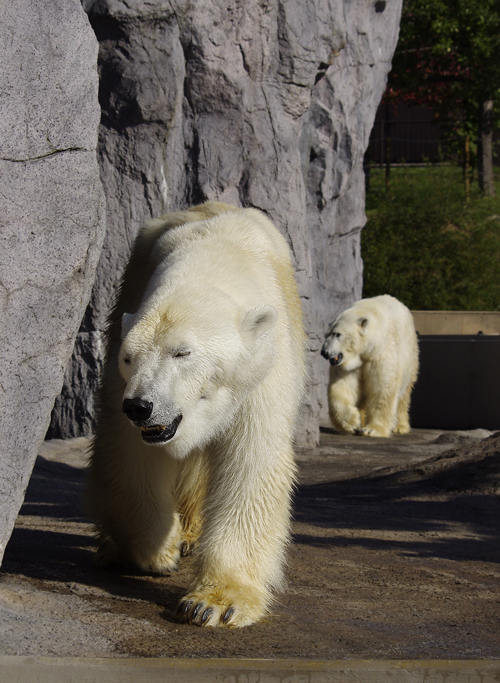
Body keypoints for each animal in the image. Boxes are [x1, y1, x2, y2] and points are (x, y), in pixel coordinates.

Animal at [86, 202, 304, 632]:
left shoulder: (264, 364)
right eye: (129, 357)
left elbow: (251, 460)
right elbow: (128, 452)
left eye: (182, 352)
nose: (140, 407)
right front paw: (157, 551)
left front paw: (215, 603)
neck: (217, 253)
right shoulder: (125, 342)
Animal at [320, 294, 418, 438]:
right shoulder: (351, 365)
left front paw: (371, 429)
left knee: (404, 394)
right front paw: (352, 424)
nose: (324, 352)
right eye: (326, 334)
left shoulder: (381, 354)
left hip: (411, 356)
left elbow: (383, 388)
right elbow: (343, 386)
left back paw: (400, 427)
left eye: (337, 334)